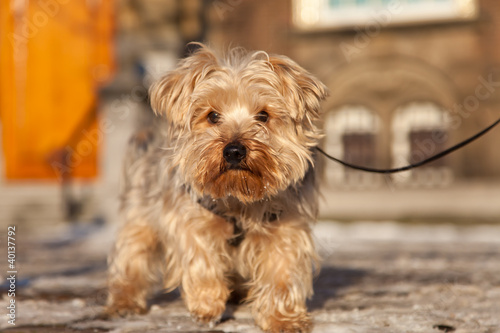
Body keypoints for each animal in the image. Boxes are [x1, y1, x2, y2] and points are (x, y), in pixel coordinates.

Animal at [107, 44, 328, 332]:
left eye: (263, 116)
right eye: (212, 116)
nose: (234, 150)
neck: (237, 198)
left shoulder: (285, 226)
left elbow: (282, 272)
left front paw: (283, 319)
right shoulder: (189, 219)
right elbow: (201, 260)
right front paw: (207, 305)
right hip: (140, 213)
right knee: (133, 256)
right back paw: (124, 302)